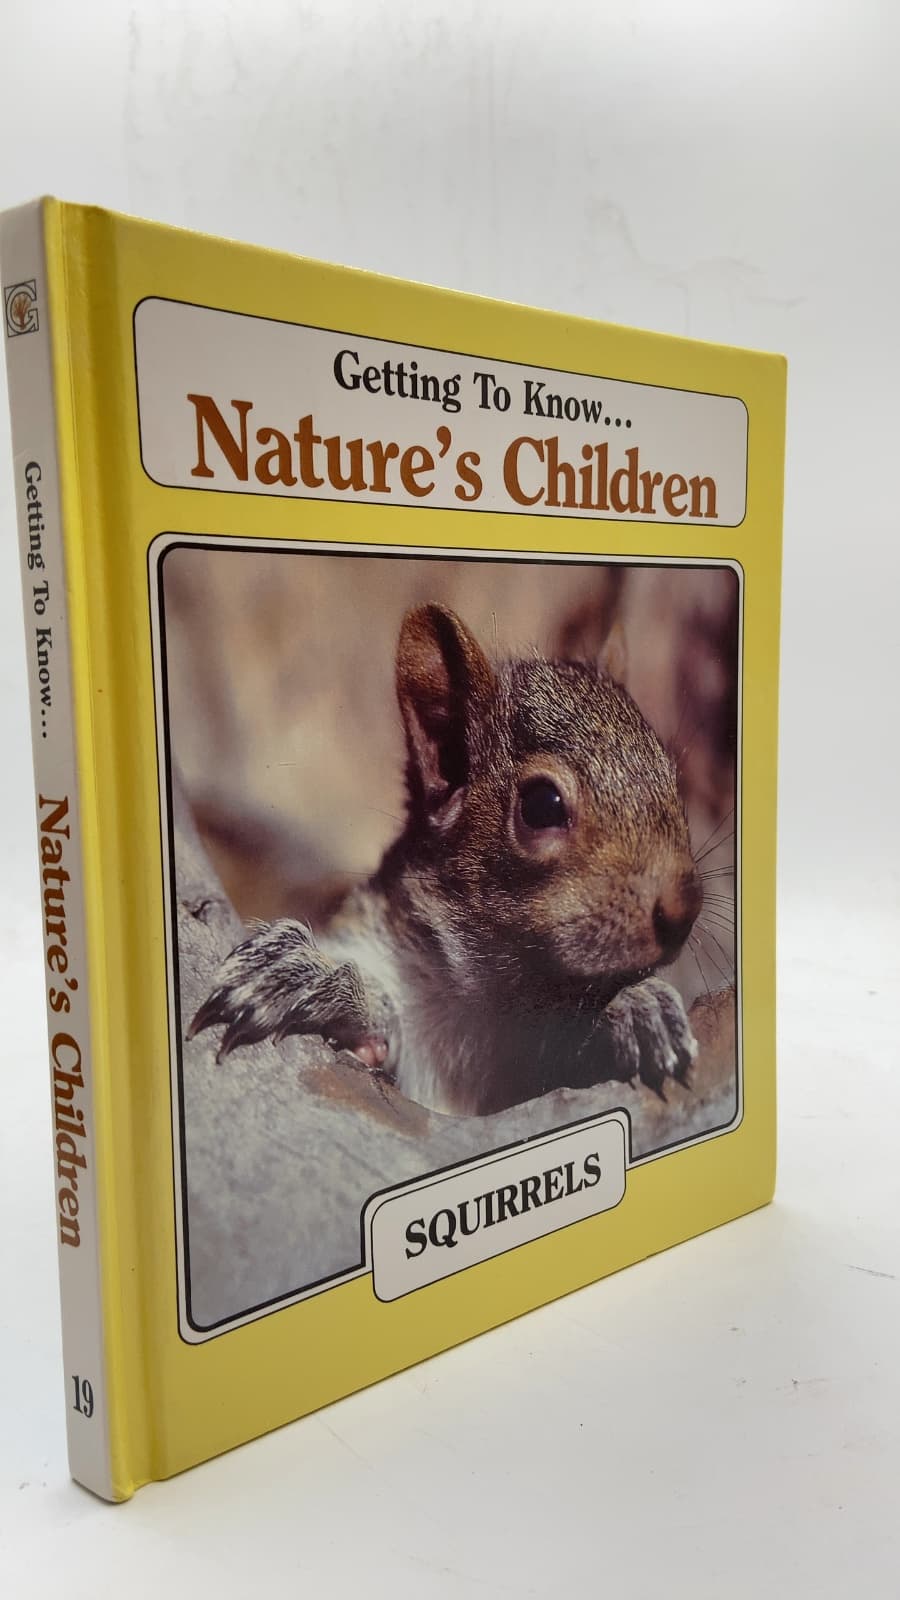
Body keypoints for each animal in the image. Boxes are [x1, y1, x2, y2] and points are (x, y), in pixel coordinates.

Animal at [189, 603, 703, 1117]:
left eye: (671, 777)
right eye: (542, 805)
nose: (683, 910)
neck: (495, 1004)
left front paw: (639, 1005)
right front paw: (309, 974)